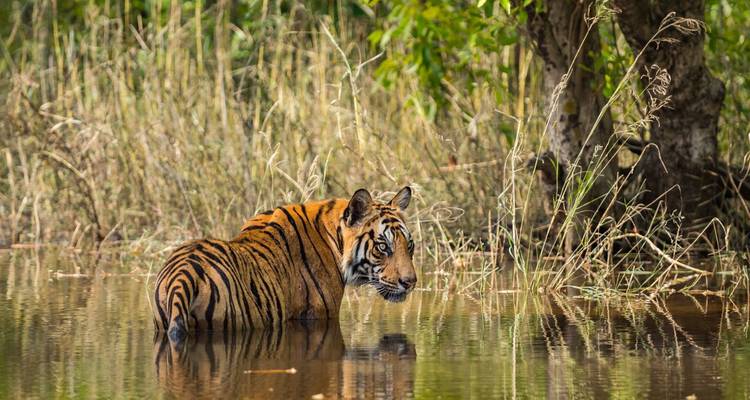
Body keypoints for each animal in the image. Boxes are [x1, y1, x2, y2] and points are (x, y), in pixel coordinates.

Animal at [152, 186, 416, 342]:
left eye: (410, 245)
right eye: (383, 247)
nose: (411, 282)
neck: (333, 237)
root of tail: (182, 276)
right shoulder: (320, 316)